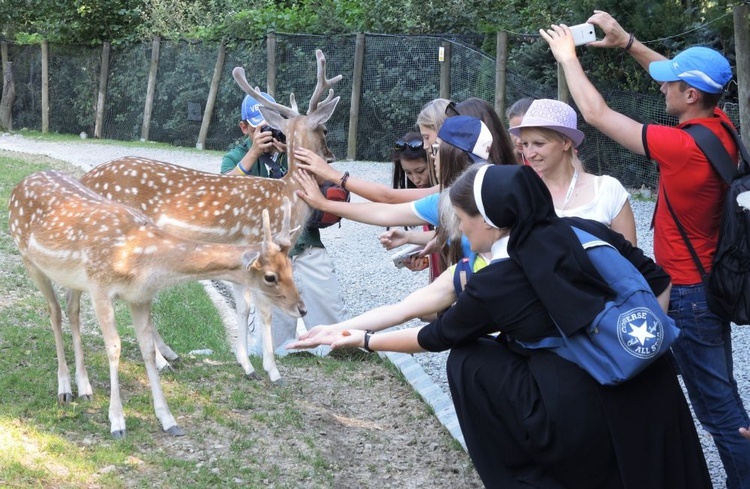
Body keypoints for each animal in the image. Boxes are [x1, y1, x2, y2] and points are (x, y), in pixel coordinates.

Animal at [7, 170, 304, 436]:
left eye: (291, 267)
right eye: (270, 276)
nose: (302, 308)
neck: (140, 260)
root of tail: (18, 186)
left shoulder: (140, 297)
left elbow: (147, 349)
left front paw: (169, 420)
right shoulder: (101, 287)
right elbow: (114, 348)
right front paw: (117, 423)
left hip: (74, 280)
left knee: (71, 308)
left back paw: (85, 387)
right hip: (29, 258)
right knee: (54, 311)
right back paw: (65, 388)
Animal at [78, 50, 346, 386]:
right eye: (325, 129)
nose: (331, 157)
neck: (288, 195)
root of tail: (85, 180)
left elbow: (244, 308)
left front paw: (247, 364)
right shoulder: (261, 245)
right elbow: (264, 309)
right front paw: (271, 370)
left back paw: (169, 355)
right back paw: (161, 362)